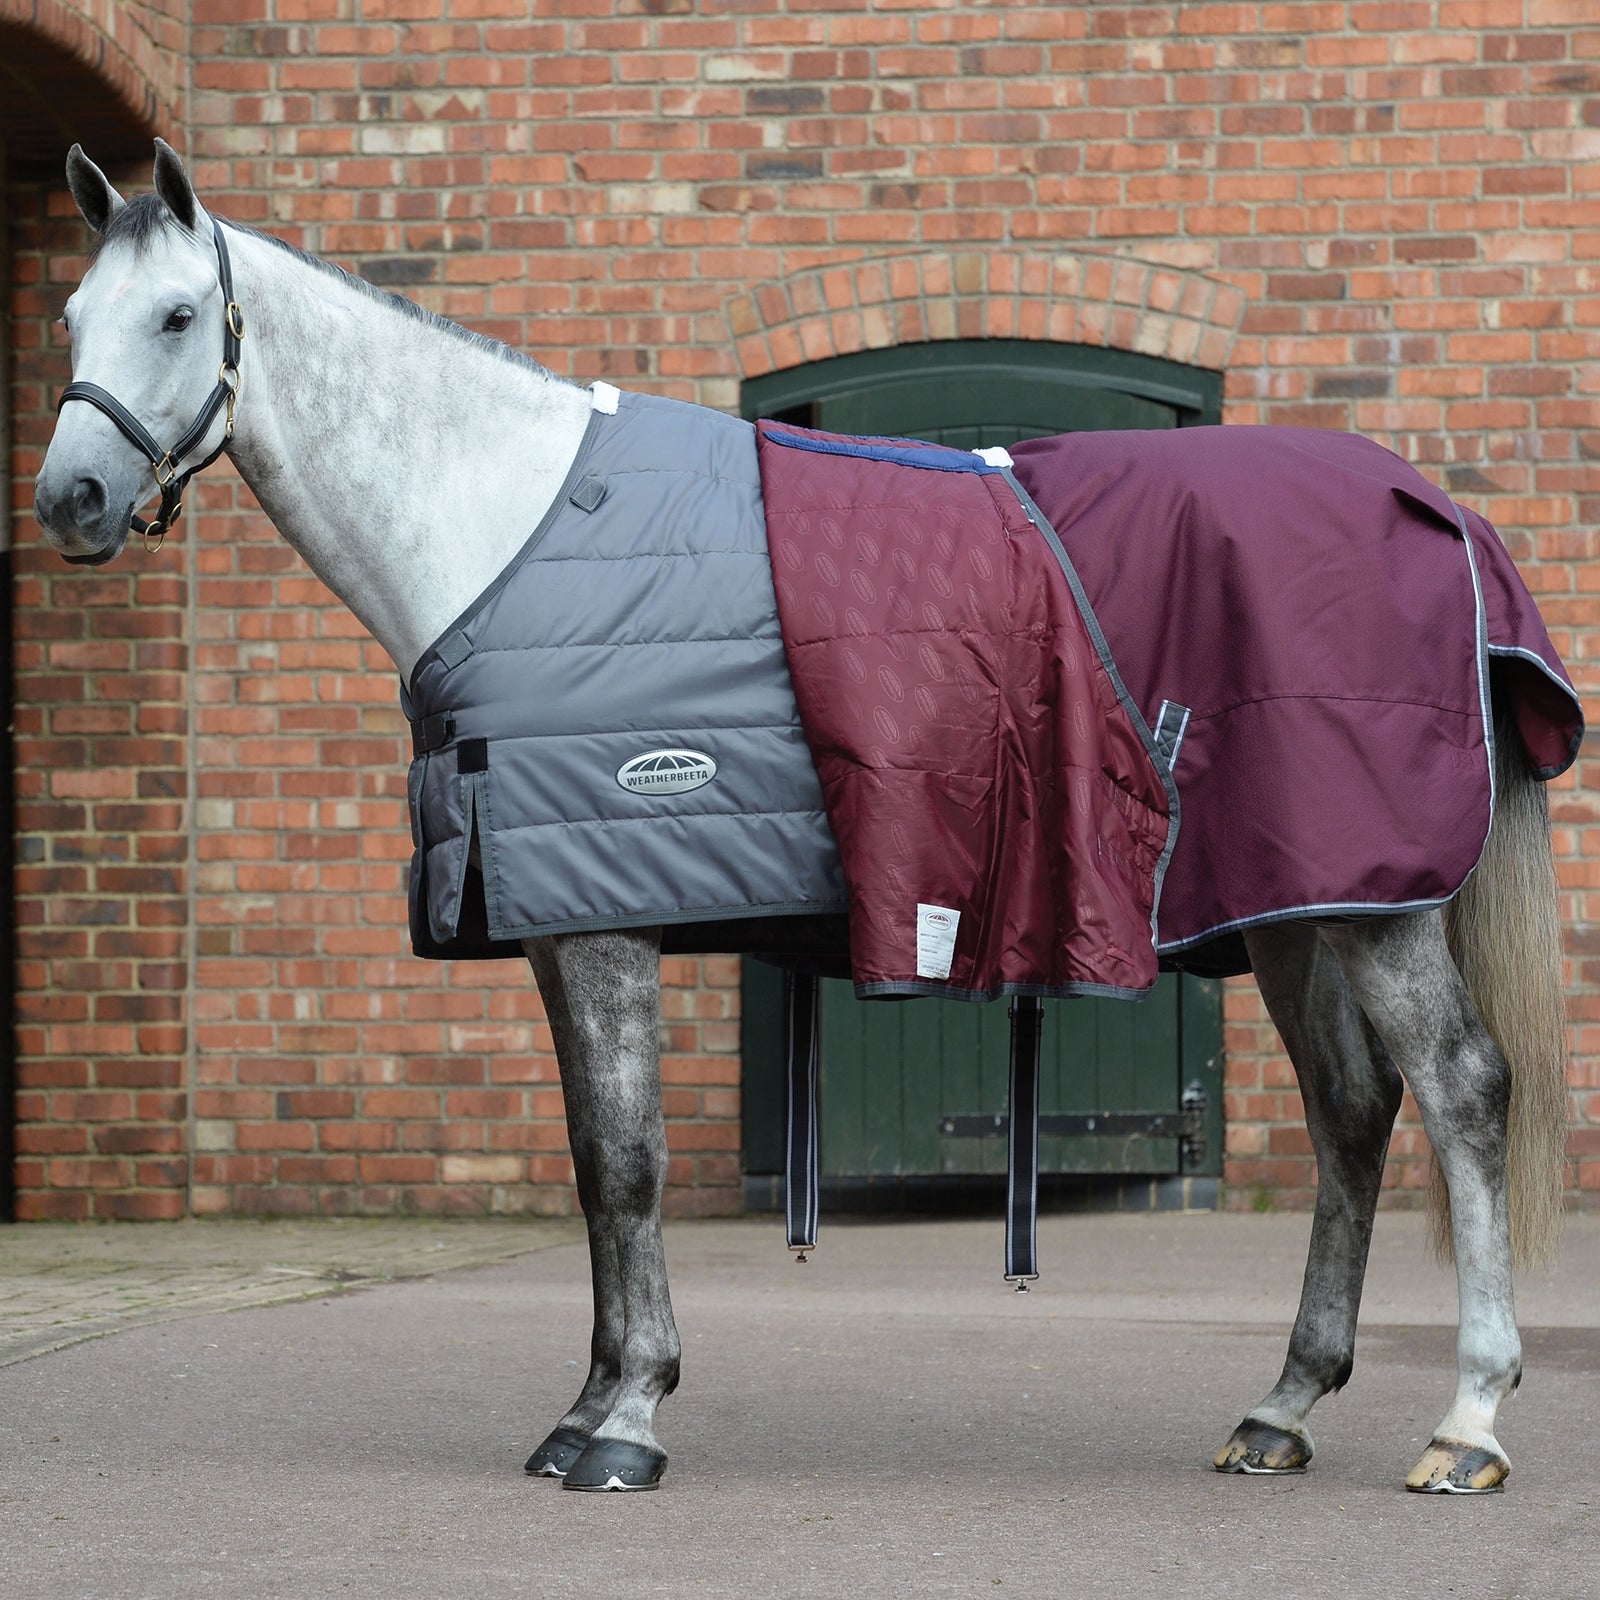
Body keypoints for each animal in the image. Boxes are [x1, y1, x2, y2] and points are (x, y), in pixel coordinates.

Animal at [33, 142, 1570, 1495]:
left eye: (178, 315)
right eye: (68, 317)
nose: (72, 498)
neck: (508, 530)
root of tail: (1433, 509)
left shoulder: (608, 920)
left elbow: (629, 1164)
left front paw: (626, 1422)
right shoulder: (550, 920)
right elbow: (592, 1165)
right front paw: (588, 1404)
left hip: (1373, 906)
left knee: (1462, 1092)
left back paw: (1470, 1422)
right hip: (1296, 907)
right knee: (1353, 1113)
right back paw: (1282, 1406)